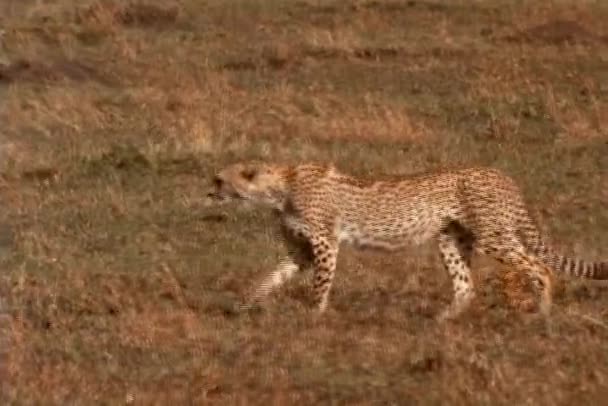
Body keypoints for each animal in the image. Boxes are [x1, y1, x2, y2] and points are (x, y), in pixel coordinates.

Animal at [207, 162, 604, 320]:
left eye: (220, 180)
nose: (208, 192)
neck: (279, 187)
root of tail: (501, 173)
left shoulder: (324, 243)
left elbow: (320, 284)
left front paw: (314, 316)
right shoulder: (301, 252)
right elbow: (269, 278)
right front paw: (242, 305)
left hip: (495, 236)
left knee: (539, 268)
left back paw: (544, 312)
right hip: (451, 240)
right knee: (465, 286)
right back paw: (440, 321)